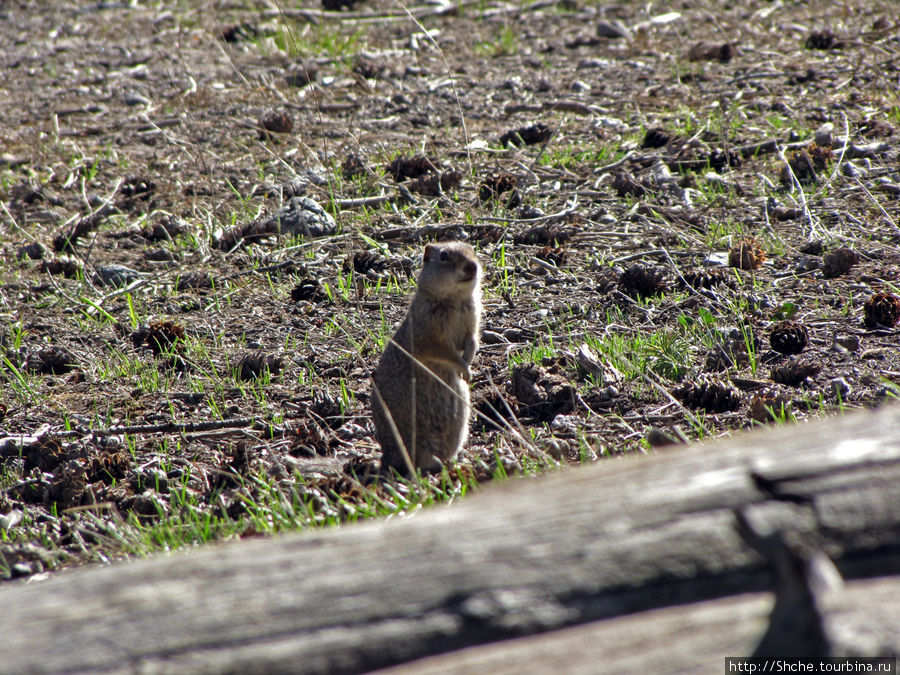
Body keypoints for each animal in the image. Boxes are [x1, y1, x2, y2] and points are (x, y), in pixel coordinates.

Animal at [370, 243, 482, 476]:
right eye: (444, 256)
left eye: (472, 250)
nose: (472, 266)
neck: (456, 299)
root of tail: (387, 457)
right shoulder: (432, 335)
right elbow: (445, 352)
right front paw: (464, 369)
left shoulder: (472, 323)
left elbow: (473, 341)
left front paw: (468, 366)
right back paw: (437, 464)